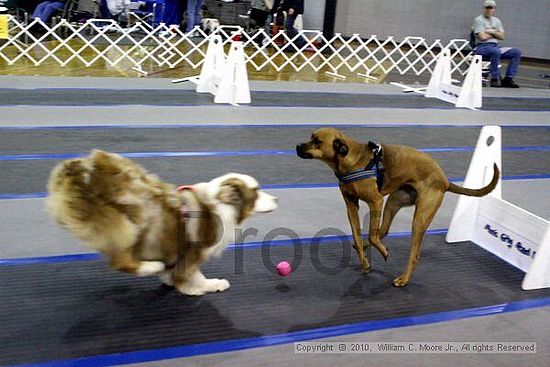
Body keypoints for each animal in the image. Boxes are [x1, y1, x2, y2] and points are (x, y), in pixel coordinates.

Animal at [47, 150, 278, 296]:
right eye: (257, 192)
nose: (277, 199)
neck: (222, 204)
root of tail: (79, 171)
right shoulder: (192, 252)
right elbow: (192, 276)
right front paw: (205, 286)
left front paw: (169, 278)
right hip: (121, 223)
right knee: (120, 261)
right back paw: (152, 266)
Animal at [300, 129, 502, 288]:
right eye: (311, 137)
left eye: (317, 141)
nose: (297, 146)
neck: (353, 161)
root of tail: (444, 181)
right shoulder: (351, 205)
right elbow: (358, 237)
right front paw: (365, 261)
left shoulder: (376, 202)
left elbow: (371, 235)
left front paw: (380, 253)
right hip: (393, 202)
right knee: (382, 231)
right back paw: (369, 249)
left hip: (418, 218)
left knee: (411, 253)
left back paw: (403, 279)